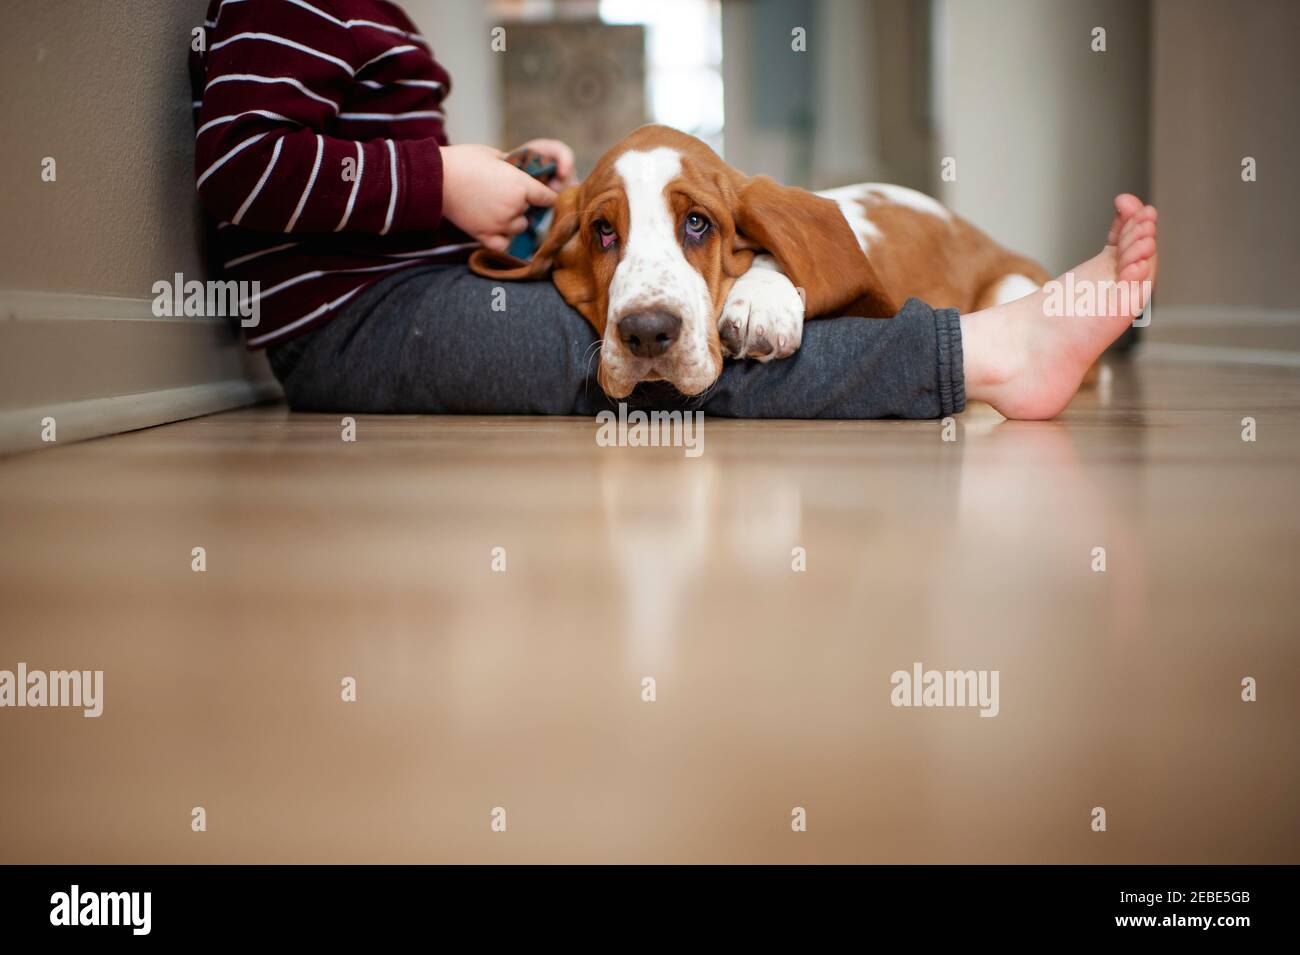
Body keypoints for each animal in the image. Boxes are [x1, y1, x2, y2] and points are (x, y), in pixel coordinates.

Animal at [473, 124, 1050, 400]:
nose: (647, 333)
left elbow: (768, 253)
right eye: (603, 231)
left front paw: (760, 304)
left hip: (1013, 283)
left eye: (698, 223)